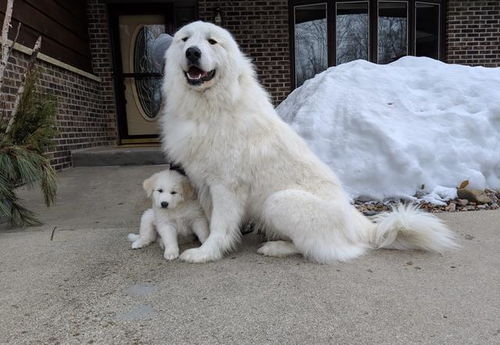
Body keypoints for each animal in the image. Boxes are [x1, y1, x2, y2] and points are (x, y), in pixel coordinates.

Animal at [160, 20, 458, 264]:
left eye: (212, 41)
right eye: (185, 39)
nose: (192, 53)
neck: (211, 105)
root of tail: (359, 224)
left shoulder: (226, 185)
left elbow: (220, 226)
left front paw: (206, 253)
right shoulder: (205, 182)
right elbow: (210, 221)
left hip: (278, 201)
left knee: (321, 248)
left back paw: (275, 247)